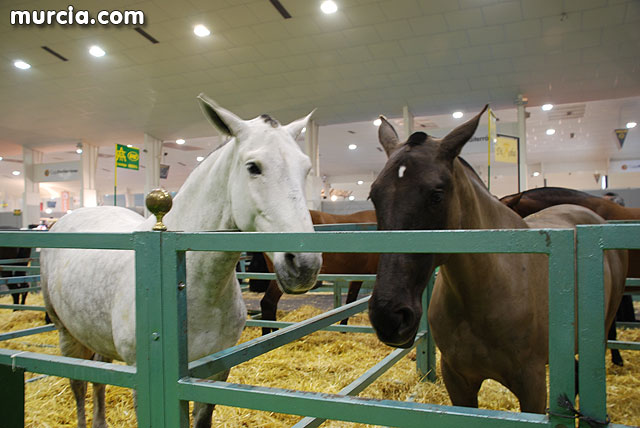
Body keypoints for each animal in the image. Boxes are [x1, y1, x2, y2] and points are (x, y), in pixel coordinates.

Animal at [41, 95, 320, 428]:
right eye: (253, 167)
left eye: (306, 169)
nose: (305, 265)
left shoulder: (213, 371)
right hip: (66, 335)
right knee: (79, 386)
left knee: (98, 380)